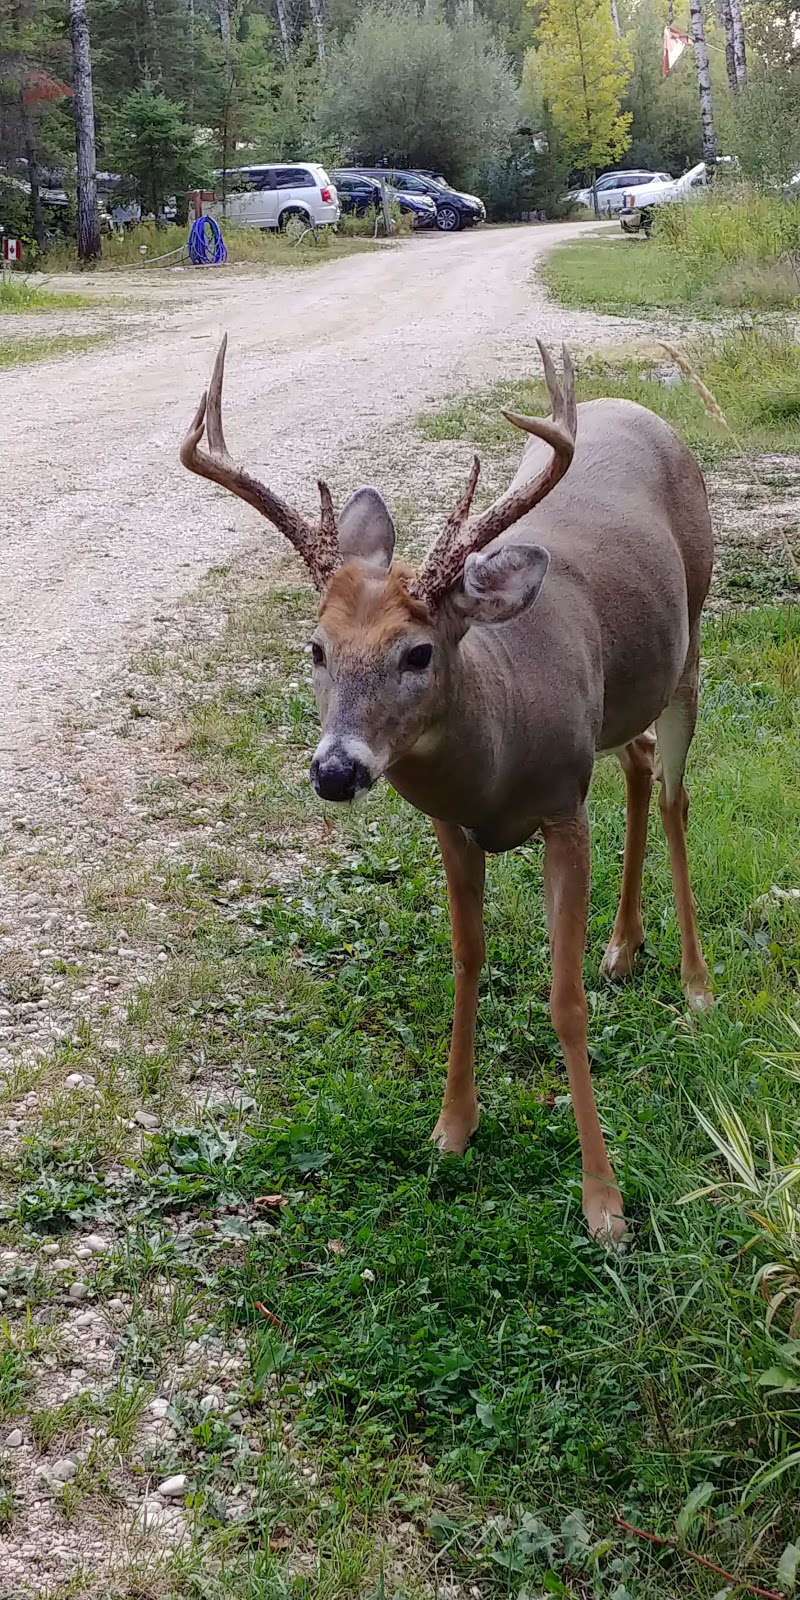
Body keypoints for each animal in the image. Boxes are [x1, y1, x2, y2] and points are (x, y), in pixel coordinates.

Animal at [181, 334, 713, 1235]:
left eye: (418, 652)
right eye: (315, 648)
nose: (336, 770)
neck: (497, 750)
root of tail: (640, 410)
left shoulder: (564, 809)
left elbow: (563, 999)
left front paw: (603, 1202)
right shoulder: (451, 825)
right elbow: (467, 959)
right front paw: (452, 1126)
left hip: (694, 634)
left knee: (677, 794)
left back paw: (694, 981)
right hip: (624, 697)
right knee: (640, 760)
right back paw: (621, 946)